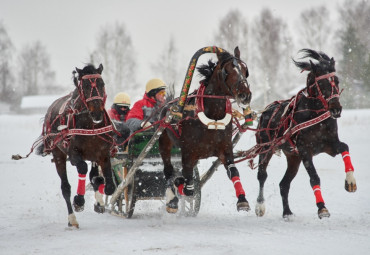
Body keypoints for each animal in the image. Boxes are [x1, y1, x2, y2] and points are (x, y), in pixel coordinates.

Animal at [34, 63, 118, 227]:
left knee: (94, 176)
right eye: (85, 86)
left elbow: (108, 186)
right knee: (65, 187)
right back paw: (72, 219)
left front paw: (99, 201)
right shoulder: (73, 153)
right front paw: (79, 200)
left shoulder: (103, 153)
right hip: (58, 153)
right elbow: (82, 168)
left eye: (102, 83)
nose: (97, 113)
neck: (90, 125)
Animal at [158, 46, 253, 213]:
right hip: (165, 141)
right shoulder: (188, 152)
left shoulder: (225, 149)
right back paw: (173, 199)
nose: (245, 95)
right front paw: (178, 186)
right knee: (169, 171)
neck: (212, 118)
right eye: (227, 71)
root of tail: (168, 105)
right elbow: (188, 187)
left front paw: (242, 200)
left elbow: (233, 171)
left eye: (245, 69)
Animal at [254, 49, 356, 219]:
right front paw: (322, 208)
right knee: (262, 175)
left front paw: (350, 181)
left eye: (336, 80)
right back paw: (259, 206)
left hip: (293, 157)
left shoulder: (329, 145)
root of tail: (266, 111)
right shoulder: (304, 150)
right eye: (321, 83)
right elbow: (314, 178)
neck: (313, 114)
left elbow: (344, 147)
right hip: (266, 148)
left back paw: (287, 213)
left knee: (284, 184)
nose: (336, 109)